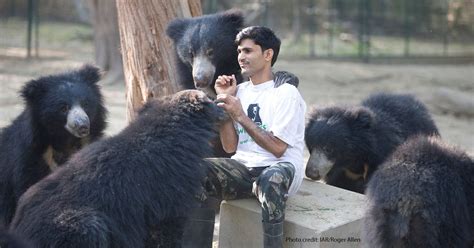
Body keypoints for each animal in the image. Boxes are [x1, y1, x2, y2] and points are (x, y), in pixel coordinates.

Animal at [9, 90, 224, 247]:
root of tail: (18, 227)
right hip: (75, 226)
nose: (222, 105)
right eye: (212, 100)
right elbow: (166, 228)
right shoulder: (168, 189)